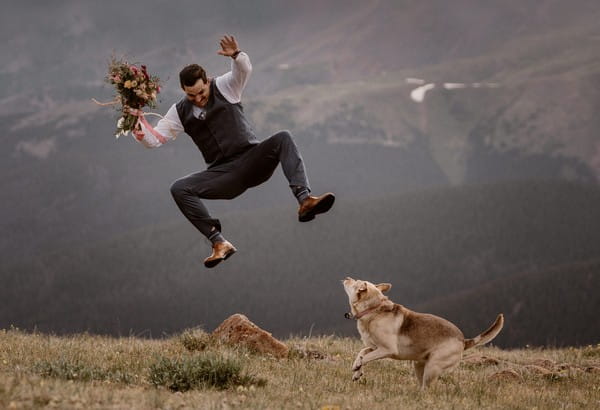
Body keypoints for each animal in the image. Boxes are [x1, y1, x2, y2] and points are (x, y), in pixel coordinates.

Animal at [342, 276, 502, 388]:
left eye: (355, 282)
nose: (347, 277)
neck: (373, 310)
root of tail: (463, 340)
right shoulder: (374, 347)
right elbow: (362, 353)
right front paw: (357, 371)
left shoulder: (387, 350)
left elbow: (365, 357)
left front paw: (358, 367)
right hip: (419, 366)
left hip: (432, 368)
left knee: (429, 388)